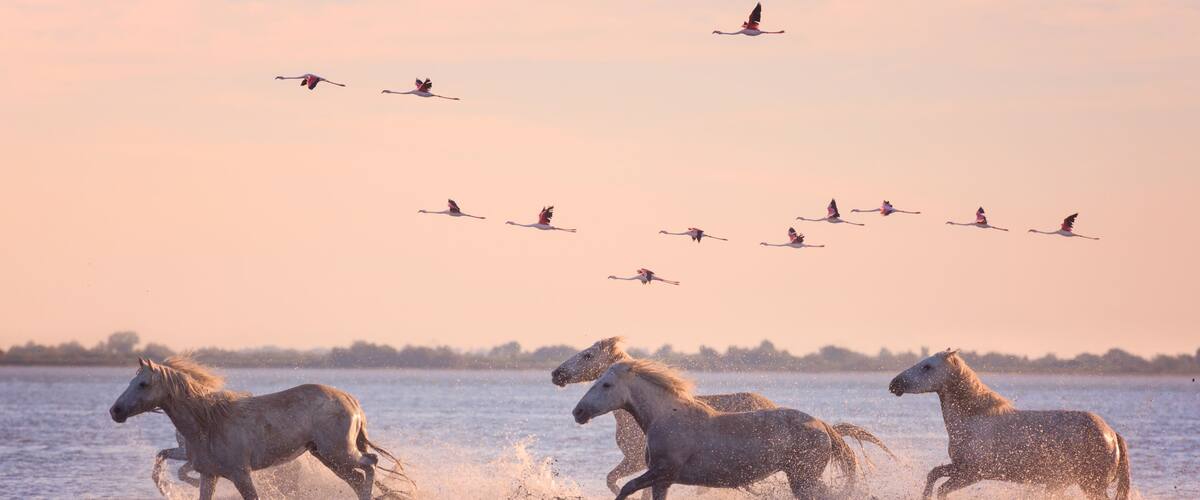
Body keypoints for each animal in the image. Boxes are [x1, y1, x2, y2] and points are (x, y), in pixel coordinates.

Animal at [110, 356, 412, 500]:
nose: (115, 411)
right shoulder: (210, 475)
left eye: (143, 384)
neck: (208, 422)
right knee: (359, 479)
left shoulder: (241, 474)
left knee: (371, 463)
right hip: (327, 457)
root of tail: (351, 400)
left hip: (339, 453)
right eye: (131, 381)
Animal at [552, 336, 893, 495]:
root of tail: (821, 424)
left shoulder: (642, 464)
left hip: (803, 477)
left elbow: (617, 483)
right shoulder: (656, 473)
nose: (556, 374)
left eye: (588, 355)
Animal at [889, 349, 1131, 499]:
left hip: (1091, 485)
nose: (894, 384)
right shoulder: (959, 466)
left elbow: (942, 489)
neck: (974, 420)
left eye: (927, 366)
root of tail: (1112, 434)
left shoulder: (972, 473)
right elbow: (933, 474)